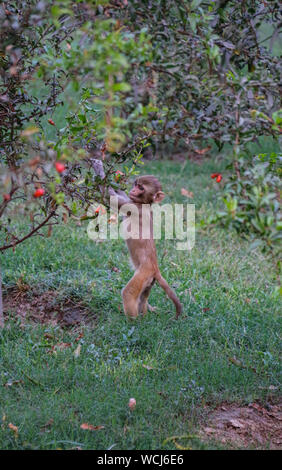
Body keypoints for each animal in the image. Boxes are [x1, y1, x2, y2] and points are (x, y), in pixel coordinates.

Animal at [109, 175, 182, 320]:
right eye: (136, 184)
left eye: (141, 188)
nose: (133, 190)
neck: (145, 204)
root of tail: (155, 268)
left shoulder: (135, 207)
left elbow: (114, 199)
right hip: (149, 281)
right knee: (143, 296)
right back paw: (143, 314)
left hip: (143, 273)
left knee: (128, 293)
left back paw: (133, 321)